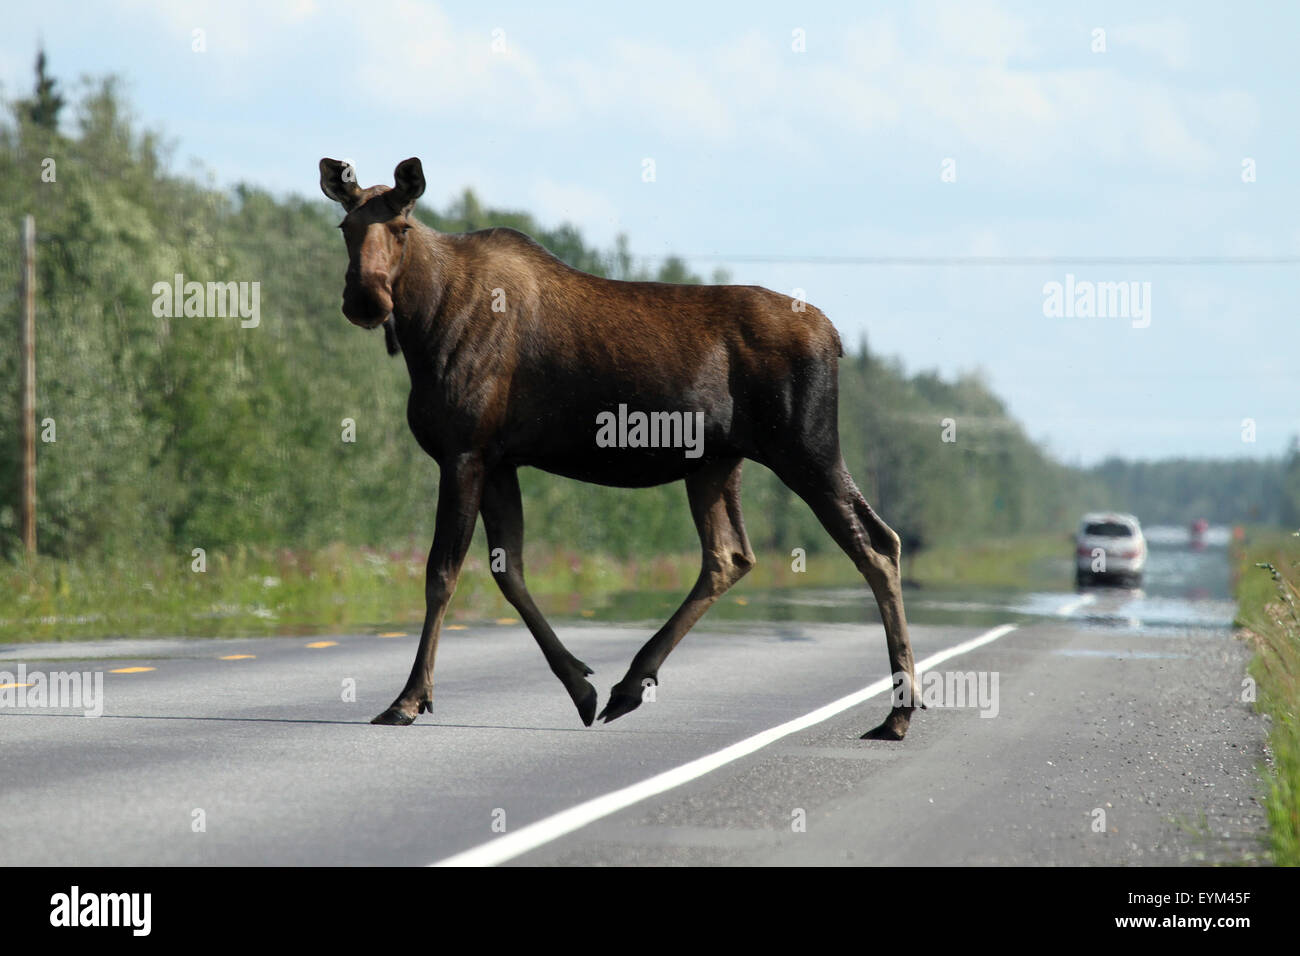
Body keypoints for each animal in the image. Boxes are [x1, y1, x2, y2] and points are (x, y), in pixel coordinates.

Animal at [319, 157, 920, 738]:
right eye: (345, 227)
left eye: (400, 227)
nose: (366, 298)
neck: (422, 329)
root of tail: (836, 339)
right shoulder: (499, 459)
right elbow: (508, 570)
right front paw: (579, 685)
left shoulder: (465, 451)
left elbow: (441, 572)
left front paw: (408, 699)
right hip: (717, 463)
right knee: (735, 555)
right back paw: (631, 684)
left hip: (805, 445)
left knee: (873, 545)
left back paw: (898, 714)